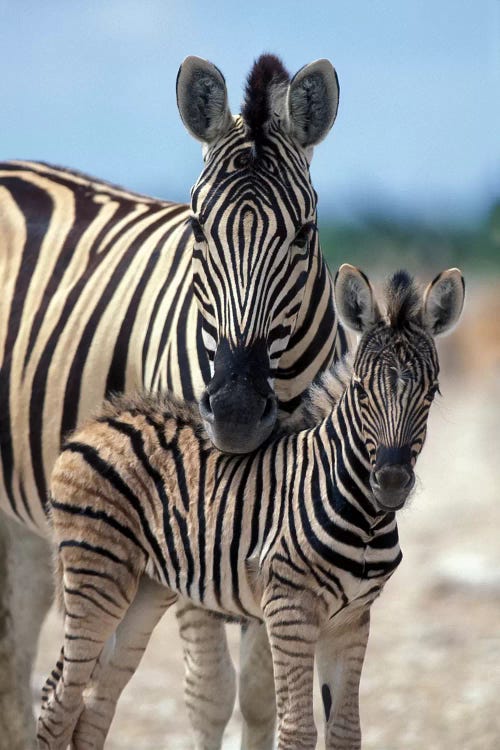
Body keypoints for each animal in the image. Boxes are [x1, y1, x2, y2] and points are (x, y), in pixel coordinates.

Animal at [0, 54, 346, 750]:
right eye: (197, 228)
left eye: (304, 234)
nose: (235, 413)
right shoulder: (188, 530)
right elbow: (211, 695)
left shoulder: (278, 533)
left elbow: (262, 696)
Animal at [37, 266, 462, 750]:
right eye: (360, 390)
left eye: (432, 392)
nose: (390, 481)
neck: (365, 519)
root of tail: (96, 421)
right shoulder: (289, 608)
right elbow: (297, 730)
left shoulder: (352, 619)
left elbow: (346, 731)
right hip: (96, 576)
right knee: (59, 702)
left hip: (144, 589)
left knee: (93, 705)